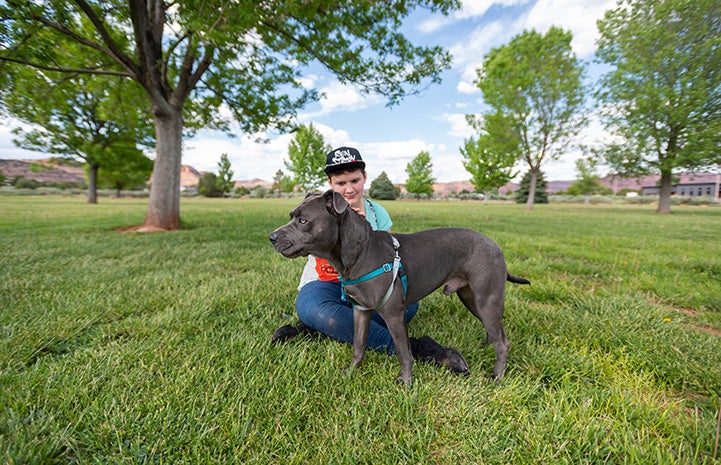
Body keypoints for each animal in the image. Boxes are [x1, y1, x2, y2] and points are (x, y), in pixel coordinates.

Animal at [268, 188, 524, 384]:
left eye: (303, 221)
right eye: (291, 216)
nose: (271, 237)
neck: (361, 253)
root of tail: (495, 246)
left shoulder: (393, 315)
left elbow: (403, 352)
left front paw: (406, 382)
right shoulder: (361, 312)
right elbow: (358, 346)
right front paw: (351, 373)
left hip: (486, 300)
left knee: (503, 341)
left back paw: (496, 377)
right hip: (471, 298)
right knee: (494, 333)